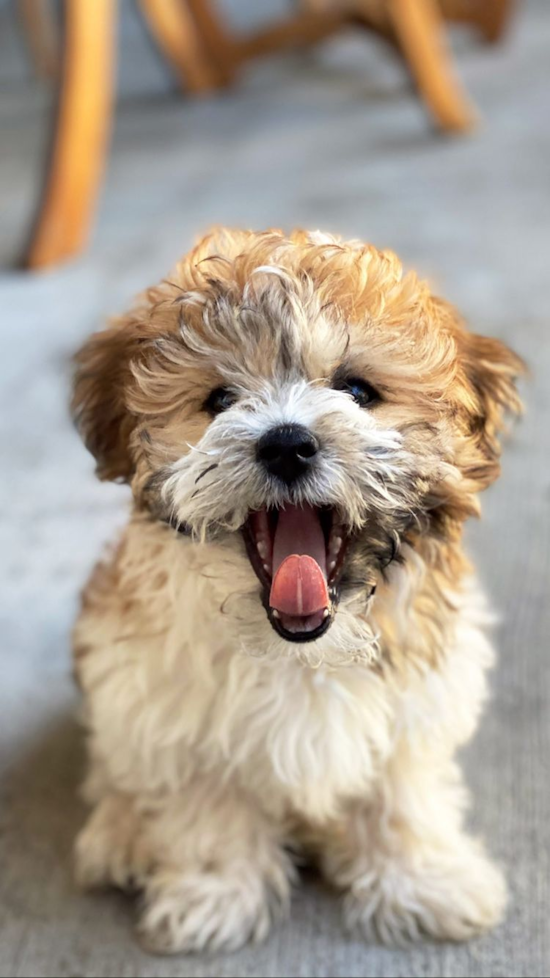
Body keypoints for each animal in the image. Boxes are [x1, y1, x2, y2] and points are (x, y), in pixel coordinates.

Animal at [71, 225, 524, 948]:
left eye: (358, 391)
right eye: (220, 401)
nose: (287, 443)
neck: (302, 649)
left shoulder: (415, 701)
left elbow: (402, 794)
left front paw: (422, 879)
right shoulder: (174, 709)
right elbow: (208, 804)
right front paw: (214, 894)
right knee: (115, 767)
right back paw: (119, 834)